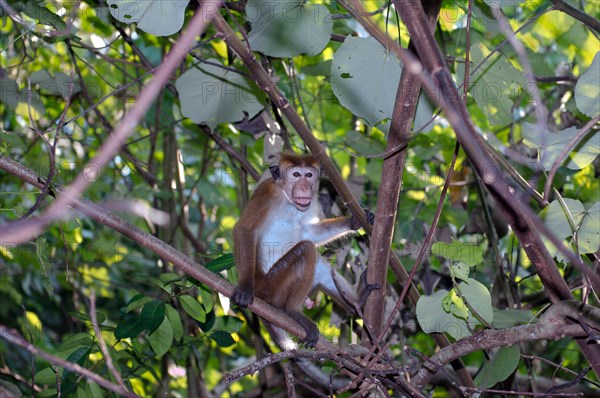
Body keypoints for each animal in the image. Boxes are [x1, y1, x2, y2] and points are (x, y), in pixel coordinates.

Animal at [233, 152, 378, 348]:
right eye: (296, 175)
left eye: (308, 175)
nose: (304, 187)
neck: (288, 200)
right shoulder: (266, 193)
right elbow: (244, 229)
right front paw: (244, 287)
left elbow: (308, 232)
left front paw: (353, 221)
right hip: (272, 287)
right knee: (306, 250)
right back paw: (292, 310)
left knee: (320, 266)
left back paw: (356, 301)